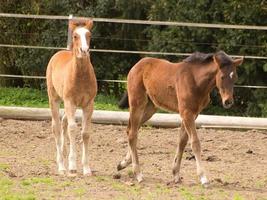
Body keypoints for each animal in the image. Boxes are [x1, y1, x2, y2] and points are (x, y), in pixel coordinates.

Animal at [46, 19, 98, 176]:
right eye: (75, 36)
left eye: (89, 35)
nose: (84, 51)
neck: (80, 76)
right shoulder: (70, 102)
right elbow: (73, 129)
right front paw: (73, 166)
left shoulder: (88, 104)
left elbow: (85, 133)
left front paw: (86, 168)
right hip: (55, 99)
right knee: (57, 126)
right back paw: (62, 166)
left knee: (63, 122)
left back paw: (63, 154)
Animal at [118, 51, 244, 186]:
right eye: (222, 77)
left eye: (235, 77)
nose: (228, 102)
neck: (196, 81)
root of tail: (136, 66)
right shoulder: (186, 113)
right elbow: (195, 142)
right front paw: (203, 178)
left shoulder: (192, 114)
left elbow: (182, 141)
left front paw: (176, 174)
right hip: (137, 103)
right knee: (132, 133)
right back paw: (138, 173)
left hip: (151, 107)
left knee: (131, 130)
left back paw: (123, 163)